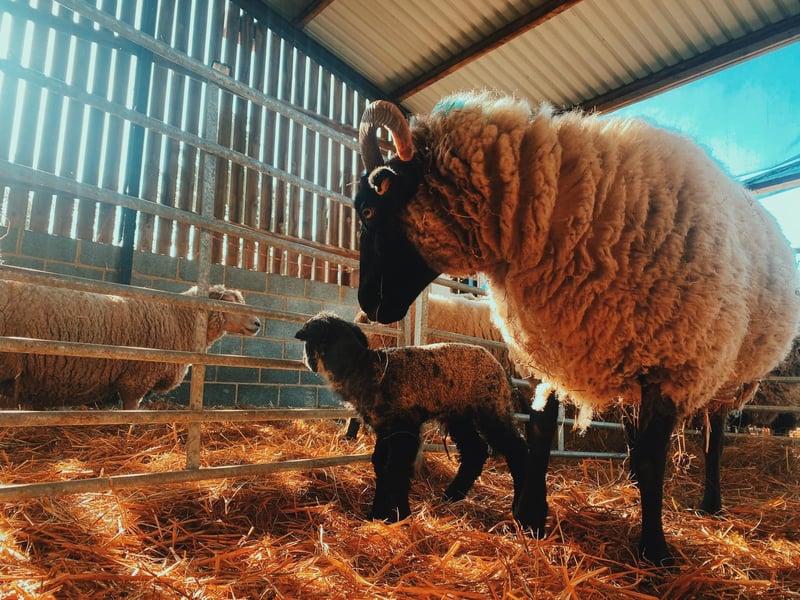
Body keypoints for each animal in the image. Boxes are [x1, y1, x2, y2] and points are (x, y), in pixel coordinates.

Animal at [294, 311, 529, 522]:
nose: (304, 360)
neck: (365, 368)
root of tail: (502, 371)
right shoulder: (385, 427)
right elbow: (380, 463)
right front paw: (377, 514)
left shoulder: (404, 427)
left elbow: (395, 468)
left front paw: (399, 514)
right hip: (459, 414)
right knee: (475, 451)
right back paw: (451, 496)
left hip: (491, 406)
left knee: (517, 450)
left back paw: (523, 513)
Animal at [352, 91, 800, 565]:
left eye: (368, 209)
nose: (367, 303)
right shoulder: (555, 345)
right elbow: (540, 433)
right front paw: (530, 517)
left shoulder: (670, 364)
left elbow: (655, 459)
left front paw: (655, 549)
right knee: (635, 433)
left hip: (726, 373)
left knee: (713, 440)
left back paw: (710, 503)